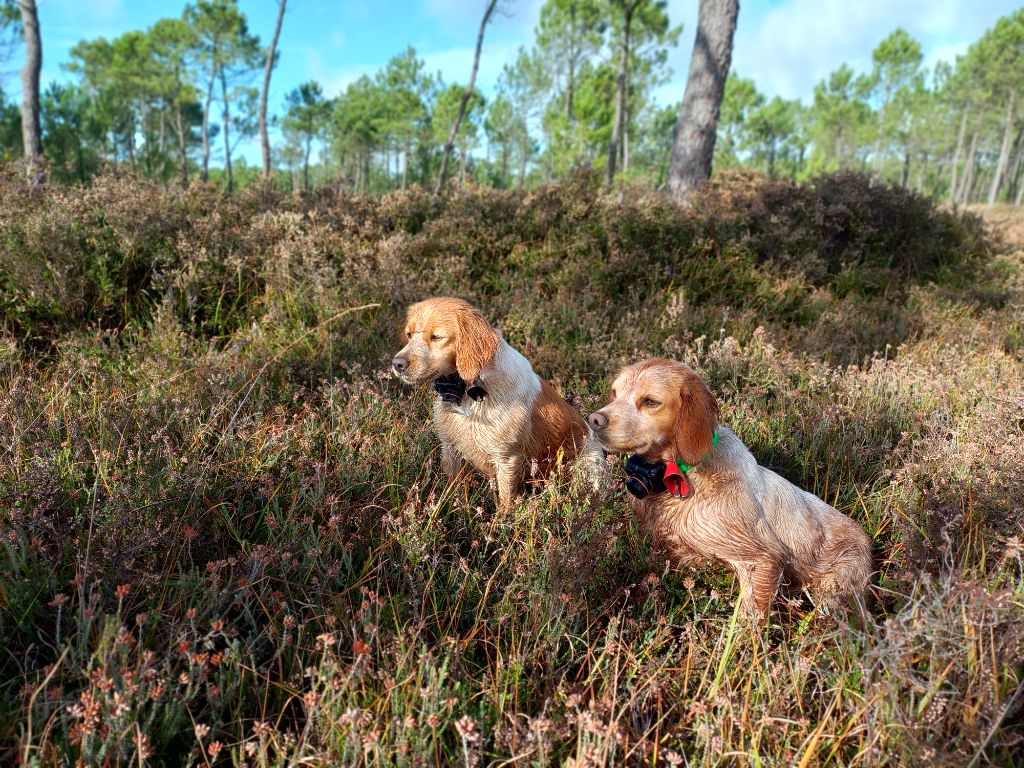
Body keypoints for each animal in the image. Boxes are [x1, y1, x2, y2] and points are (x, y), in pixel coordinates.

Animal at [589, 360, 868, 618]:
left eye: (650, 401)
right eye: (614, 393)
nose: (594, 420)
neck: (679, 475)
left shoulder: (761, 560)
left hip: (832, 595)